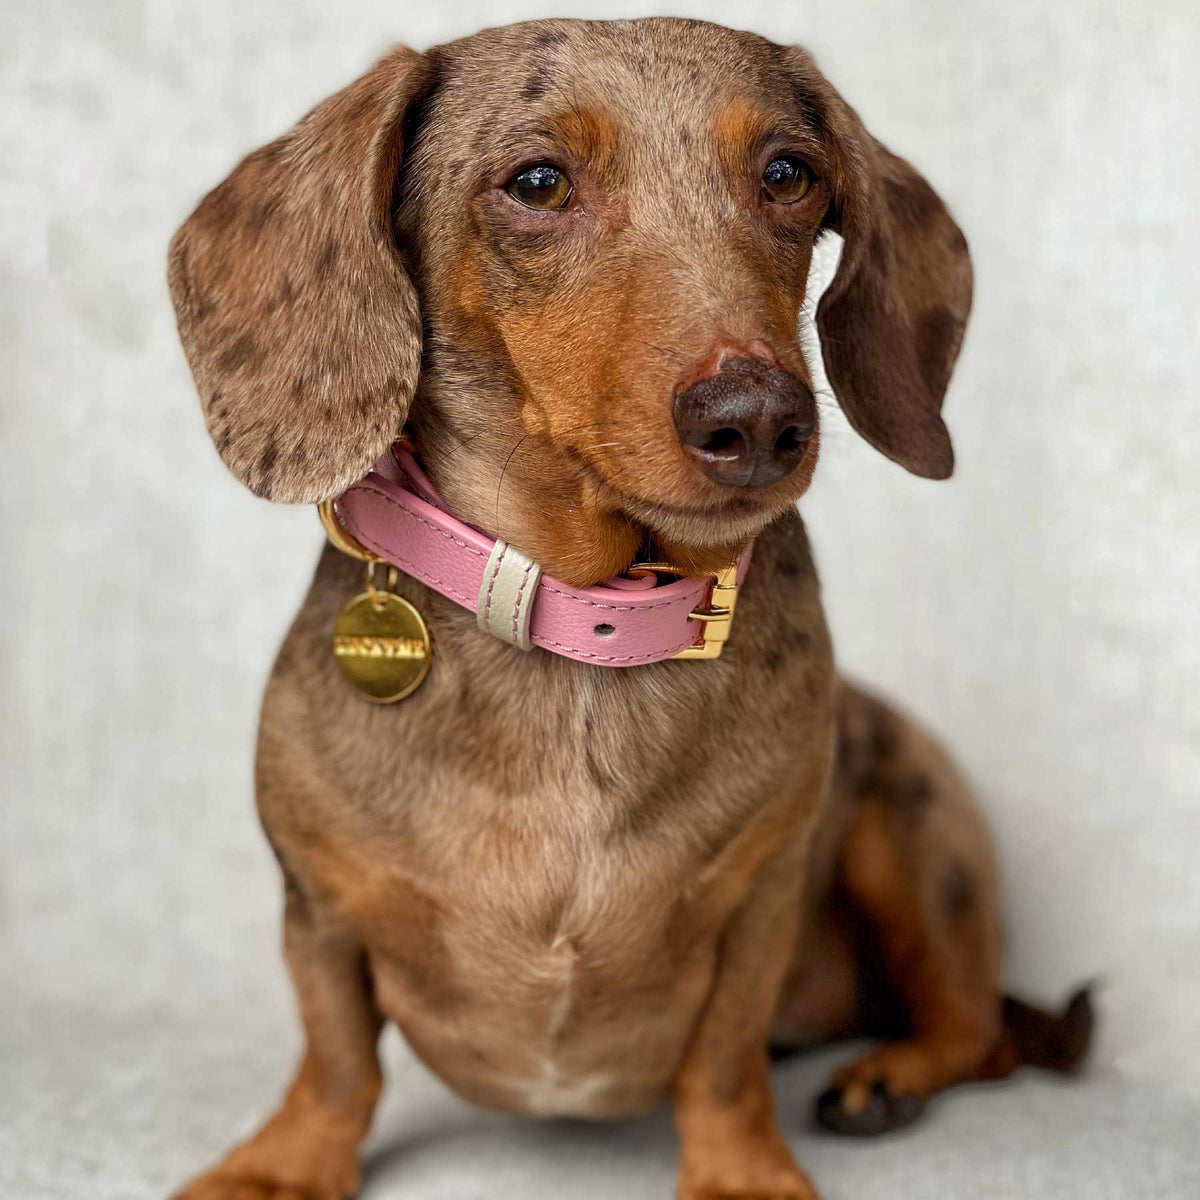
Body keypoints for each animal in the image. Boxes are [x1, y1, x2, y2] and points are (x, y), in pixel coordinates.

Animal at [164, 18, 1094, 1200]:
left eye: (787, 174)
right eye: (538, 182)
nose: (759, 419)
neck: (581, 626)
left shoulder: (761, 902)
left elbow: (727, 1057)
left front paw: (741, 1171)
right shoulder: (319, 906)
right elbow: (337, 1056)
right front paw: (286, 1163)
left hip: (914, 833)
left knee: (984, 1037)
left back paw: (886, 1077)